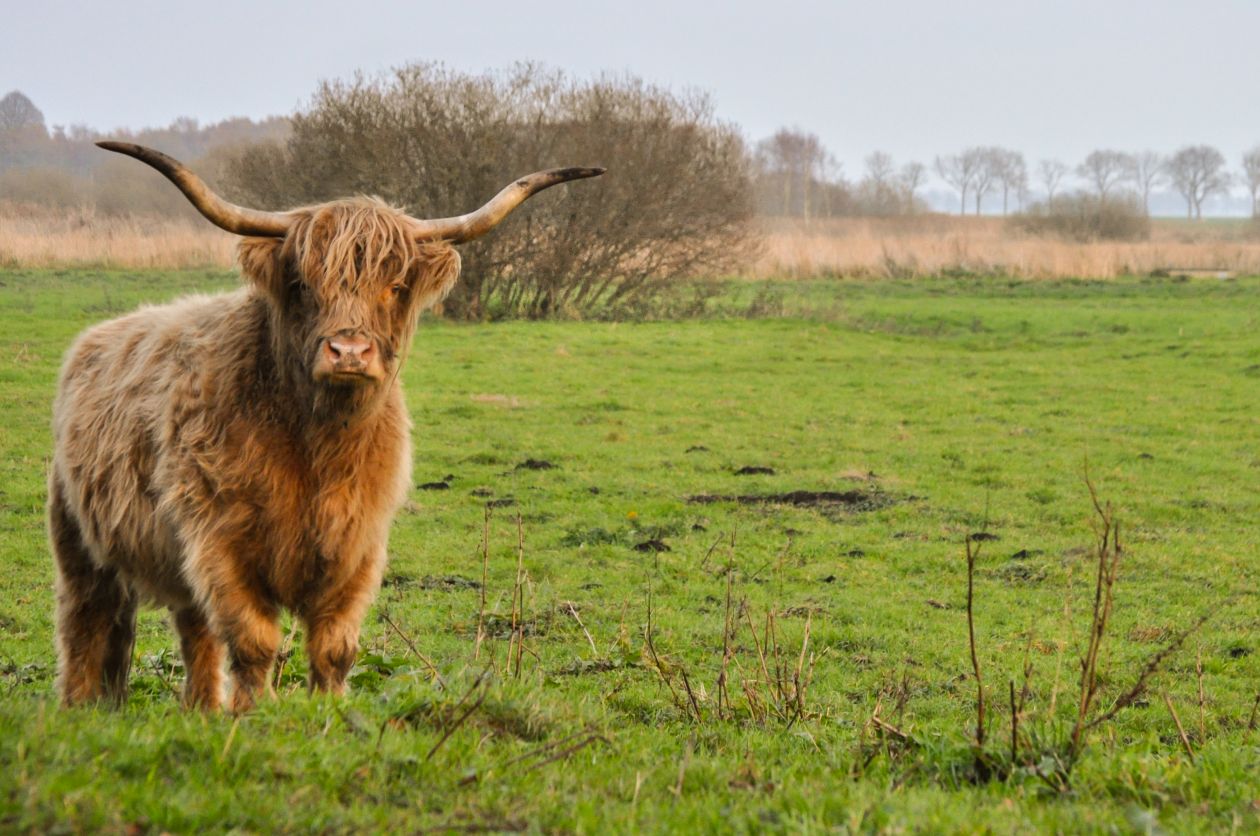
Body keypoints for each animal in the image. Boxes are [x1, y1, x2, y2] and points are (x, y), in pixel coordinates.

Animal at [49, 143, 599, 711]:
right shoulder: (220, 538)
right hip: (78, 539)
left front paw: (326, 712)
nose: (349, 352)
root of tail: (98, 337)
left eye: (395, 287)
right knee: (85, 622)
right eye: (302, 286)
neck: (320, 445)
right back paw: (80, 706)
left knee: (192, 630)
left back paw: (200, 709)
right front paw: (252, 715)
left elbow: (335, 647)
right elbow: (253, 640)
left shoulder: (358, 544)